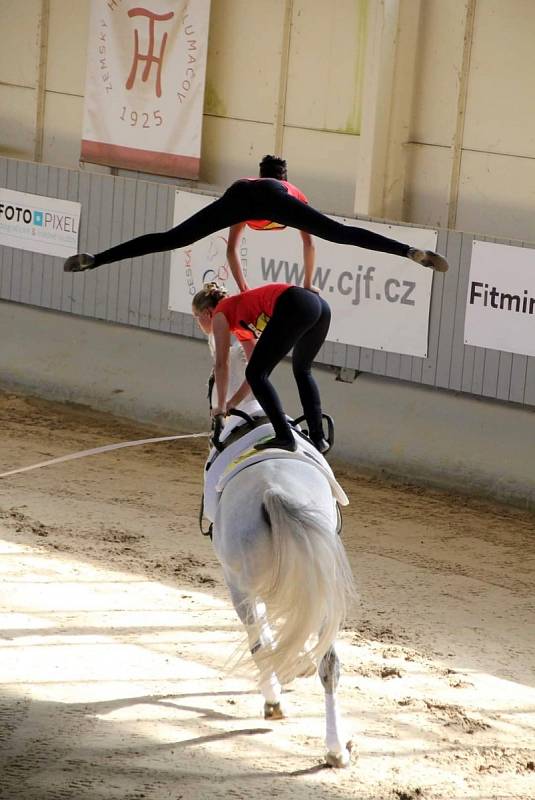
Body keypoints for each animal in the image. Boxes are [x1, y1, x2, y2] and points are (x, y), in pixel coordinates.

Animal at [201, 344, 356, 768]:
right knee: (328, 662)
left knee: (259, 642)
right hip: (320, 586)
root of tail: (272, 491)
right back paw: (336, 748)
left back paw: (274, 699)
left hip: (239, 584)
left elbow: (265, 636)